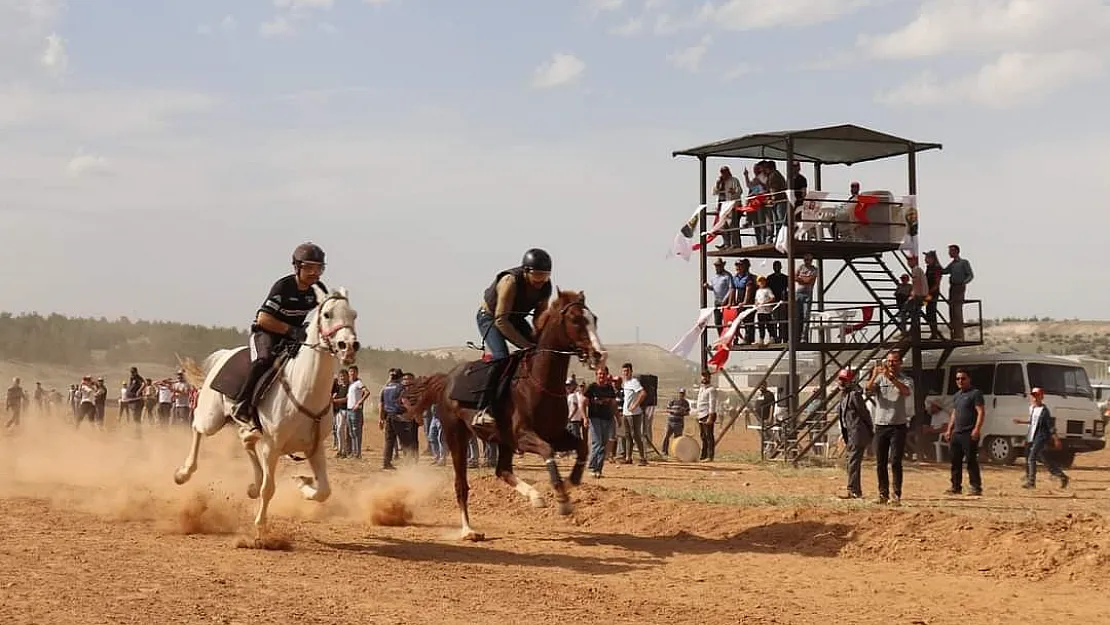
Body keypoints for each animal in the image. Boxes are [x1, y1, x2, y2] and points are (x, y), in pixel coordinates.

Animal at [406, 288, 603, 537]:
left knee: (502, 470)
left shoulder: (555, 434)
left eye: (594, 318)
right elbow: (547, 450)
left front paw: (569, 484)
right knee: (462, 484)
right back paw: (468, 530)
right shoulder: (523, 436)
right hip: (456, 435)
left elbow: (582, 447)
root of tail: (447, 379)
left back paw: (535, 497)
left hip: (501, 440)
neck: (538, 383)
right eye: (575, 319)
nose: (599, 354)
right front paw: (562, 498)